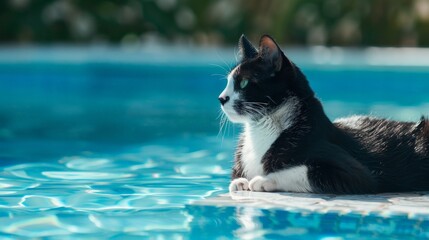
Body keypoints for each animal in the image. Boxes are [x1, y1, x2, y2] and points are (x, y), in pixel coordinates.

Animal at [219, 34, 428, 194]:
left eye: (244, 83)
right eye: (228, 82)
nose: (221, 98)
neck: (261, 129)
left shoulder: (355, 175)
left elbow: (303, 170)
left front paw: (262, 180)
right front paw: (239, 182)